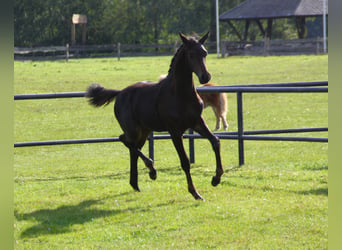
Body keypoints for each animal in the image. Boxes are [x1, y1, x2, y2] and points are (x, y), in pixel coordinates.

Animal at [87, 32, 223, 200]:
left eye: (205, 53)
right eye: (191, 54)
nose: (205, 77)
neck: (180, 94)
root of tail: (120, 93)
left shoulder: (197, 122)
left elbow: (215, 141)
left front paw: (216, 179)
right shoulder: (175, 131)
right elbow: (184, 161)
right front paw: (195, 193)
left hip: (144, 131)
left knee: (133, 148)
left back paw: (136, 183)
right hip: (132, 129)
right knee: (125, 140)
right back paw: (151, 169)